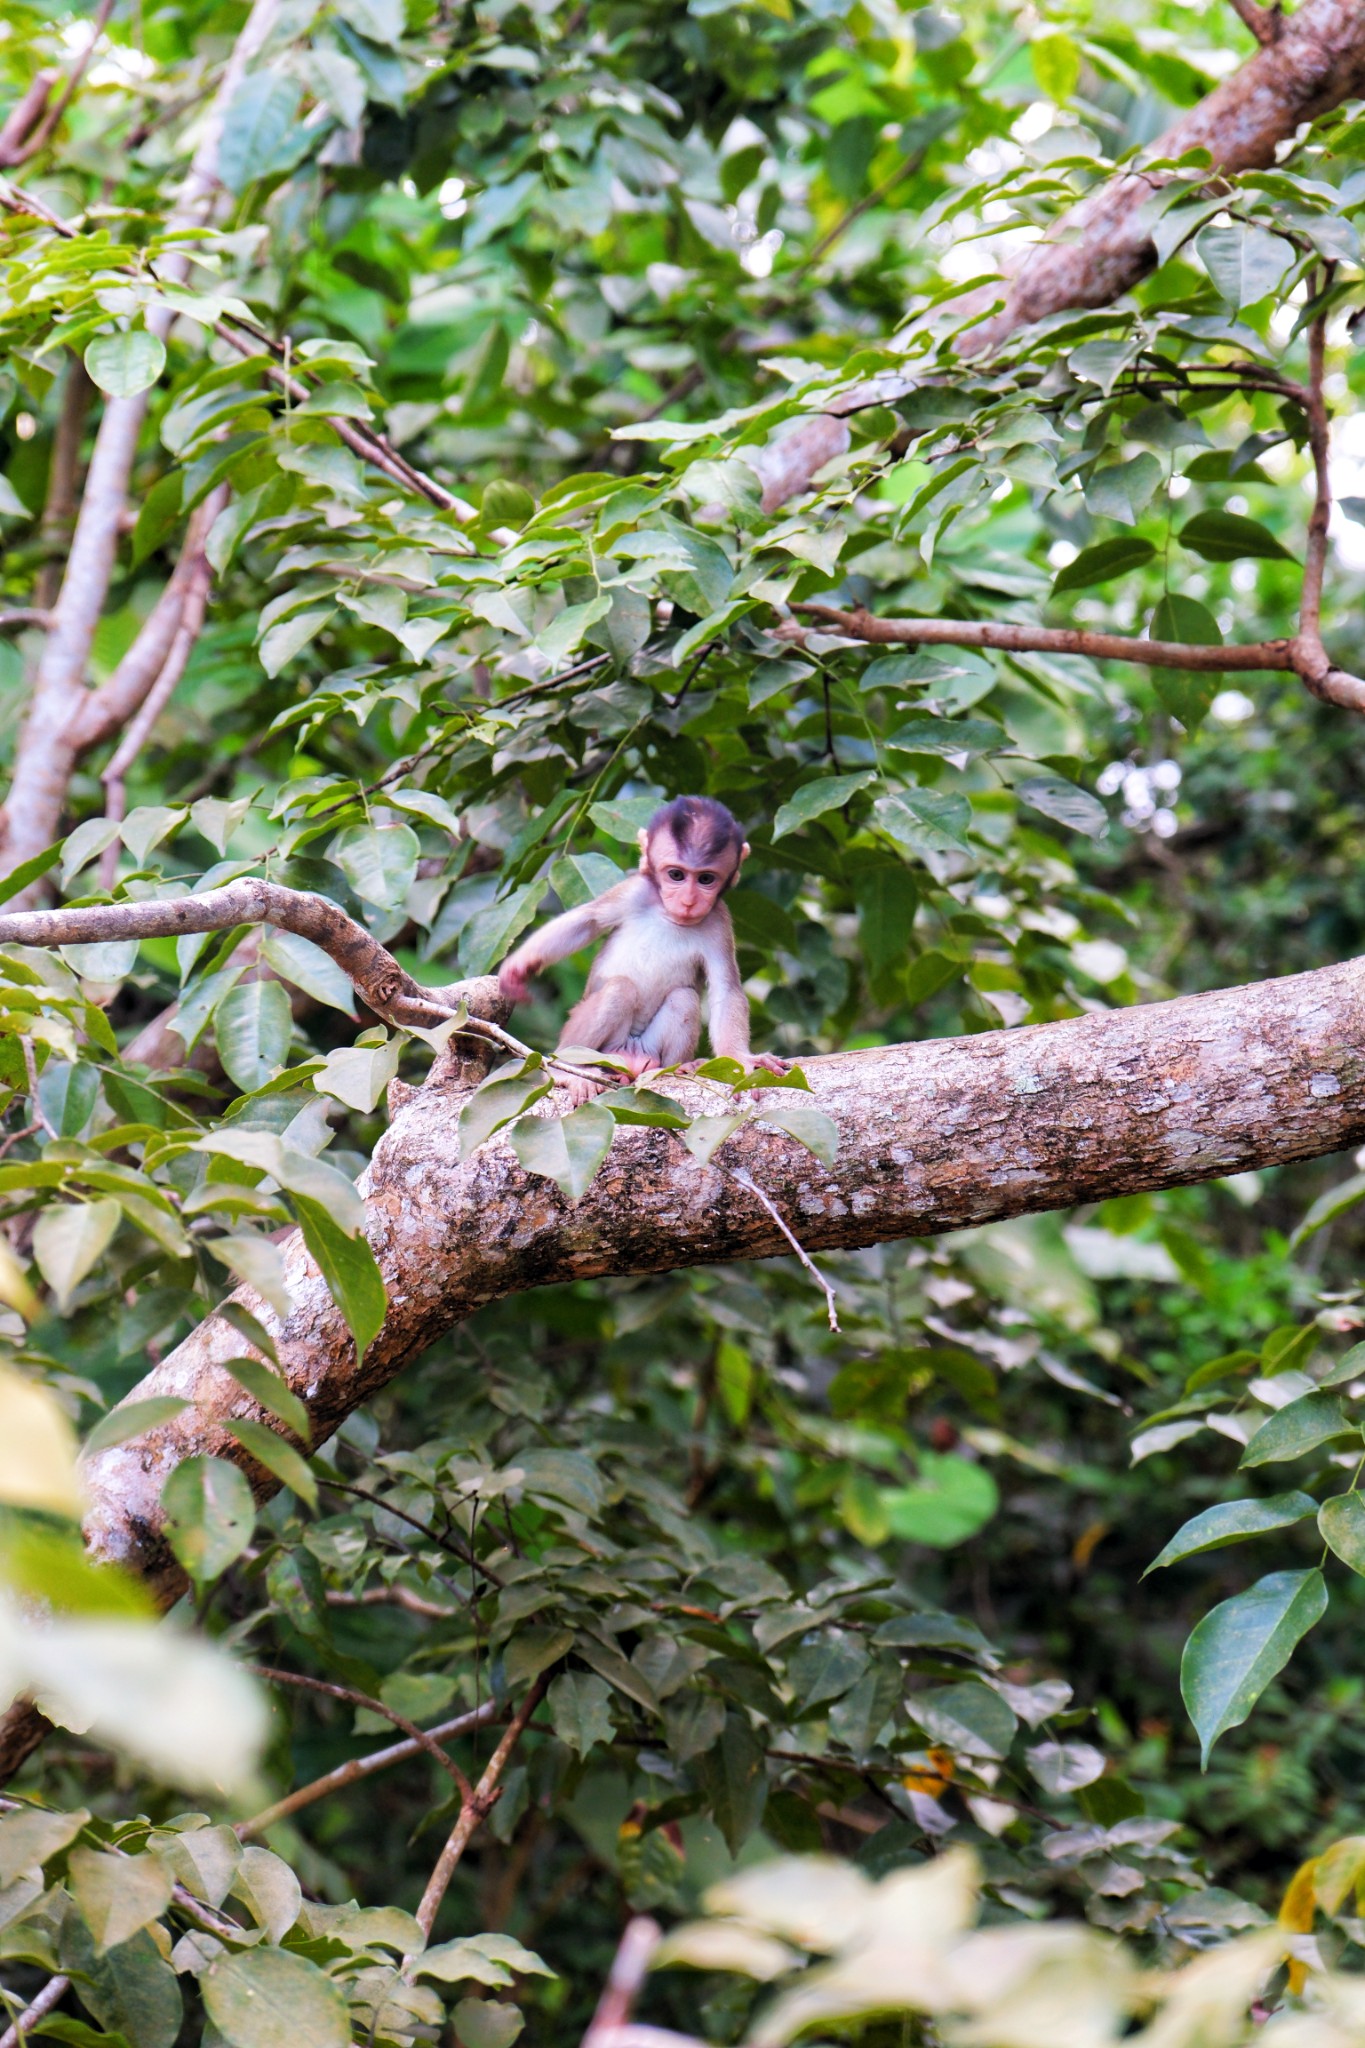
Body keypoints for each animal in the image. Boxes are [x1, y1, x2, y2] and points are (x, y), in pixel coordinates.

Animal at [499, 794, 777, 1105]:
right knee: (619, 989)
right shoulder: (635, 890)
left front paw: (741, 1059)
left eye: (706, 879)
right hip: (596, 1048)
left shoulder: (719, 920)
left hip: (646, 1049)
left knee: (684, 998)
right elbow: (587, 921)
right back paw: (567, 1071)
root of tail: (628, 1055)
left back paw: (675, 1067)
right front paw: (517, 968)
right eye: (676, 875)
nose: (689, 901)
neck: (669, 915)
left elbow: (725, 988)